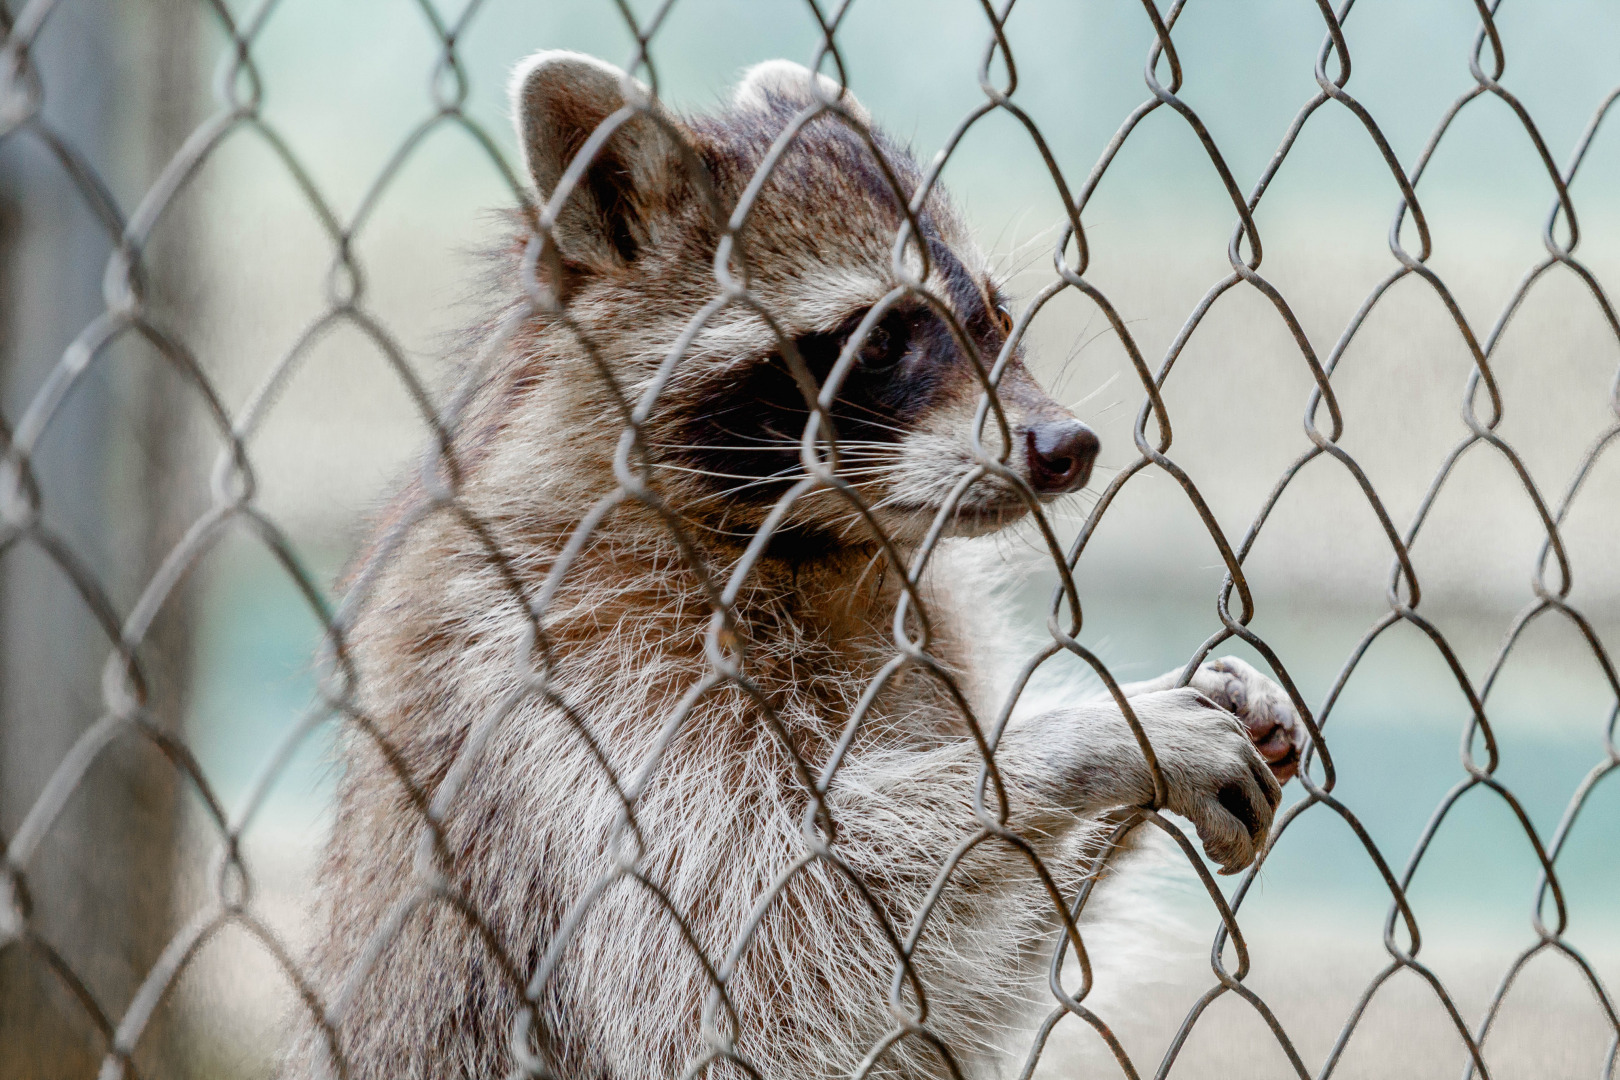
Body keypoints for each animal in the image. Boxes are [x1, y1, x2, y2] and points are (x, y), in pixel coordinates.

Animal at [294, 55, 1302, 1080]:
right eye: (882, 337)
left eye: (997, 315)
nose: (1069, 447)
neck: (820, 546)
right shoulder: (569, 676)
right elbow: (758, 960)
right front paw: (1081, 739)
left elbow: (936, 1001)